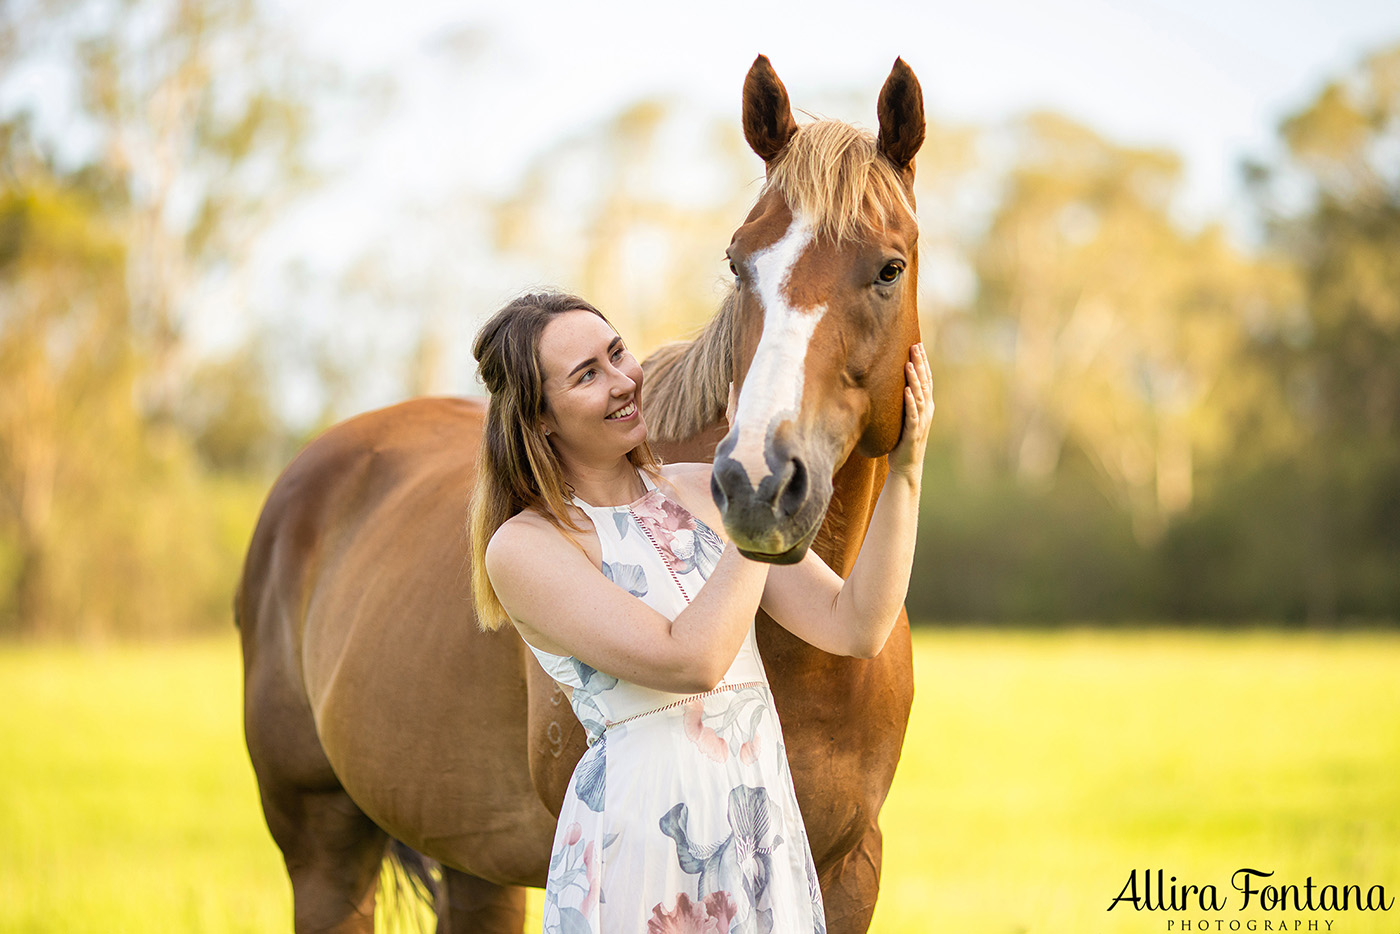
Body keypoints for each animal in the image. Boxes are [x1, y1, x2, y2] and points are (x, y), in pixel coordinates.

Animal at [236, 54, 924, 929]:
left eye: (888, 267)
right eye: (739, 262)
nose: (757, 482)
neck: (812, 663)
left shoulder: (852, 870)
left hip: (475, 865)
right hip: (324, 847)